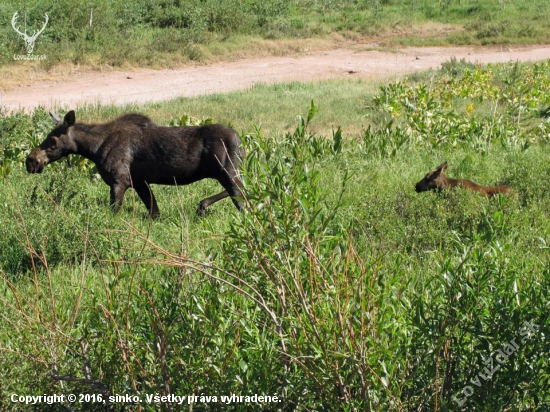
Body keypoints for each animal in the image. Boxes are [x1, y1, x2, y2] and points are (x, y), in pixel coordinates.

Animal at [25, 109, 245, 219]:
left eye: (53, 141)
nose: (31, 161)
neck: (93, 149)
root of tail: (240, 139)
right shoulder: (139, 182)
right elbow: (154, 212)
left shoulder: (119, 180)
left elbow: (113, 213)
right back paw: (202, 206)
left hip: (227, 170)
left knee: (241, 194)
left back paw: (204, 206)